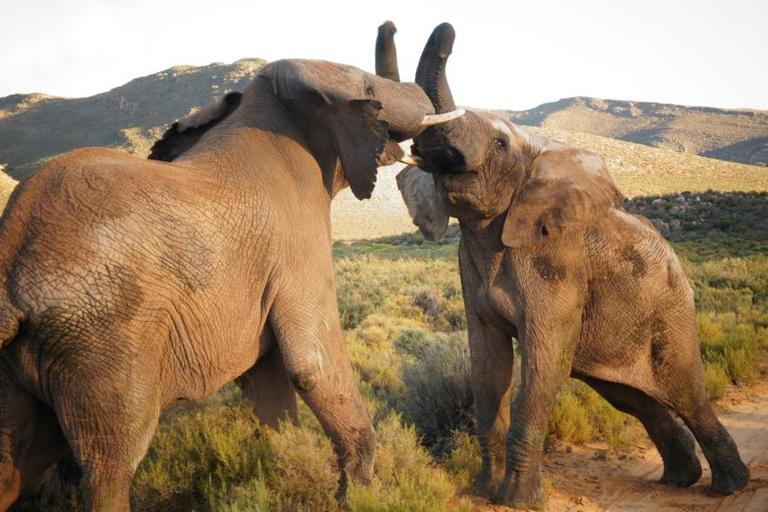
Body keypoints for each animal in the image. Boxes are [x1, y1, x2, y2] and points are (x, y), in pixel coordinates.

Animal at [0, 44, 462, 508]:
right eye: (368, 90)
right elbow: (312, 363)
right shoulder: (299, 242)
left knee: (15, 461)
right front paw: (366, 497)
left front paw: (282, 467)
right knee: (110, 463)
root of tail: (11, 261)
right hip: (103, 335)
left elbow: (269, 381)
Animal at [396, 22, 752, 510]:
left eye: (500, 143)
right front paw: (484, 491)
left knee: (686, 393)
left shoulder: (556, 264)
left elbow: (544, 362)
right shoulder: (468, 263)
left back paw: (730, 486)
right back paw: (681, 479)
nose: (448, 29)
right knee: (633, 399)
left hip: (672, 311)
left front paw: (516, 500)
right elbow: (487, 364)